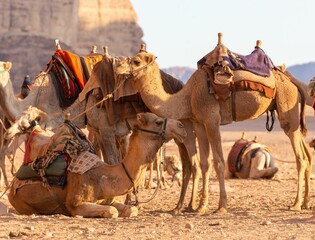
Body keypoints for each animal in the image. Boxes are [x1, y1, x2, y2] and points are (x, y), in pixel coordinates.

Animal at [4, 107, 188, 218]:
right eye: (158, 122)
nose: (181, 126)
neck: (104, 176)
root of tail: (13, 186)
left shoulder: (109, 199)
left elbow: (131, 209)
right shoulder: (75, 203)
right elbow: (112, 212)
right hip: (22, 204)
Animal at [116, 32, 314, 211]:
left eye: (136, 61)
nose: (118, 65)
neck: (188, 96)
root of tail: (292, 82)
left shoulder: (211, 120)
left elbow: (218, 161)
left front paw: (221, 206)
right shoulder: (199, 123)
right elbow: (204, 163)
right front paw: (200, 206)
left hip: (287, 108)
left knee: (301, 157)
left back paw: (296, 204)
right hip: (291, 115)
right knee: (307, 154)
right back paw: (305, 202)